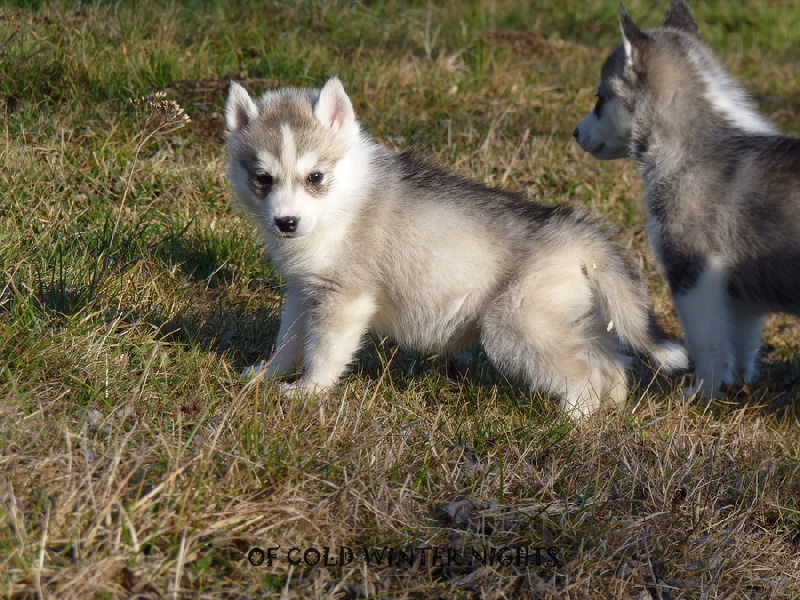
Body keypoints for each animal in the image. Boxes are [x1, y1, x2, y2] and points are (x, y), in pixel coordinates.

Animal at [224, 76, 687, 418]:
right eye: (263, 179)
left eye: (315, 177)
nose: (286, 223)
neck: (342, 203)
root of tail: (574, 231)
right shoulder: (303, 293)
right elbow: (287, 341)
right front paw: (267, 375)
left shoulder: (344, 300)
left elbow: (324, 351)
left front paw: (308, 391)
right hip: (563, 317)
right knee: (609, 359)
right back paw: (615, 403)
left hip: (517, 325)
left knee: (583, 372)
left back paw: (573, 419)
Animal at [574, 0, 800, 398]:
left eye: (599, 97)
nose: (574, 132)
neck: (692, 148)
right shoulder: (740, 293)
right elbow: (741, 340)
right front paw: (736, 386)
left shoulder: (693, 270)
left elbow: (708, 343)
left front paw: (702, 393)